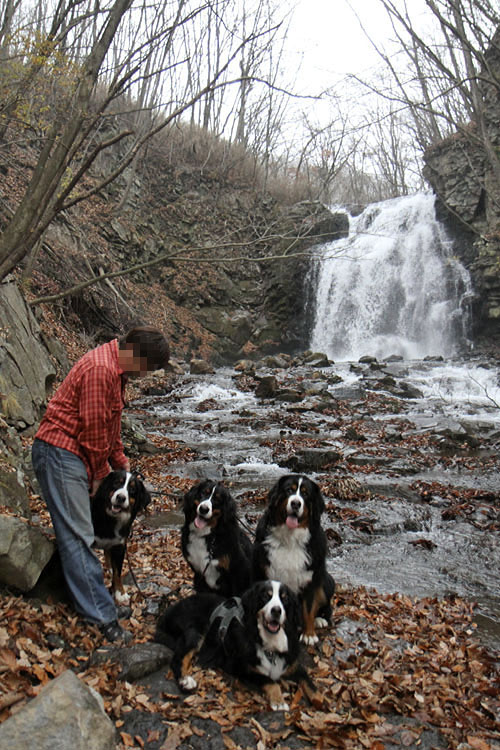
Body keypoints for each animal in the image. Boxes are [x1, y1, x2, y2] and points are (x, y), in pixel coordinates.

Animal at [91, 470, 150, 604]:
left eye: (132, 489)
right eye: (117, 483)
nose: (121, 498)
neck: (109, 520)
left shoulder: (119, 546)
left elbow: (117, 572)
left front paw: (120, 593)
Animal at [154, 580, 324, 712]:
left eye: (285, 599)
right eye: (265, 596)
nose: (276, 610)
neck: (269, 643)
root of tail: (169, 611)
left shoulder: (293, 664)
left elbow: (309, 682)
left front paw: (321, 701)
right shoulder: (242, 668)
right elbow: (269, 680)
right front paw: (279, 701)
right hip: (195, 633)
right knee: (178, 658)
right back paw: (185, 680)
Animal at [252, 476, 334, 648]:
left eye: (305, 494)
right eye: (289, 490)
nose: (296, 503)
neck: (289, 539)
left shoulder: (310, 578)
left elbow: (309, 608)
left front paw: (308, 634)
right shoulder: (261, 570)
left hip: (326, 581)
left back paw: (320, 619)